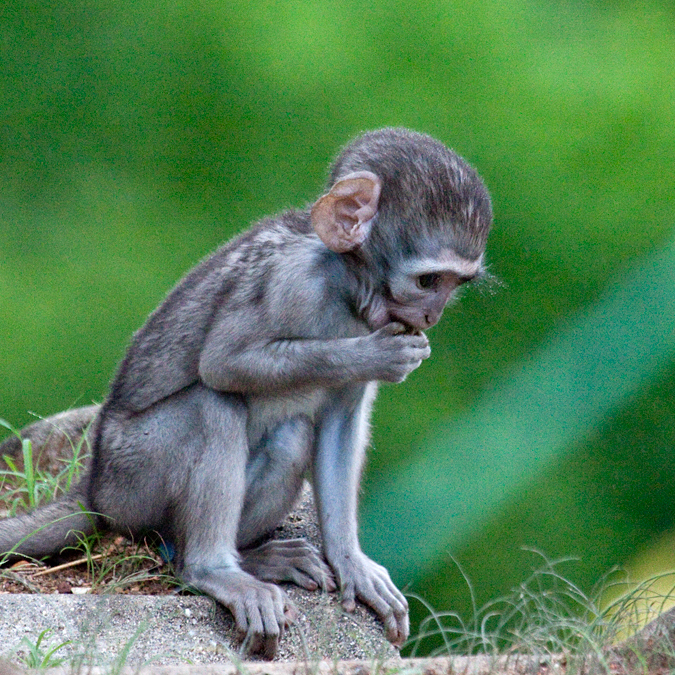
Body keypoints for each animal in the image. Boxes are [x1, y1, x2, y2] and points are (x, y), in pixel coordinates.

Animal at [0, 128, 492, 660]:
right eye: (428, 280)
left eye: (453, 284)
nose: (431, 316)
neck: (343, 284)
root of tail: (93, 489)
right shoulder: (292, 281)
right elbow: (223, 362)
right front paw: (373, 355)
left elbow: (340, 420)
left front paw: (351, 562)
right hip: (130, 479)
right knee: (211, 405)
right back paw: (212, 569)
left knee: (289, 438)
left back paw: (250, 558)